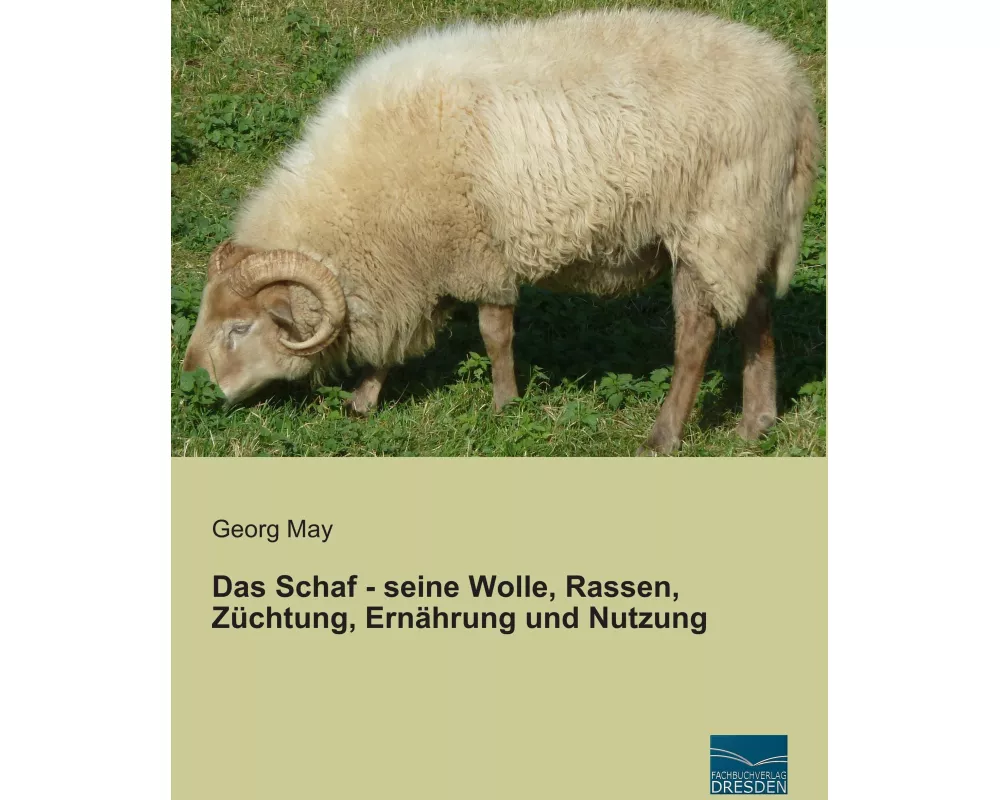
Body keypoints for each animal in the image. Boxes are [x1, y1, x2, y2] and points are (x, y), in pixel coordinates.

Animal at [181, 8, 819, 455]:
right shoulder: (416, 267)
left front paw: (504, 405)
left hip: (711, 227)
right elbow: (397, 341)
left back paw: (663, 437)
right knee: (758, 318)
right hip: (750, 228)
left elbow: (494, 333)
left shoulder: (474, 251)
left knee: (695, 339)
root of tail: (794, 95)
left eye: (240, 328)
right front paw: (364, 400)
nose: (192, 384)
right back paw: (756, 424)